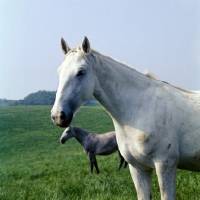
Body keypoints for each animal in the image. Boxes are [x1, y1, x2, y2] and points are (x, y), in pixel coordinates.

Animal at [51, 36, 200, 199]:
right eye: (59, 72)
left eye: (80, 72)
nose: (58, 116)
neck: (141, 109)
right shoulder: (138, 168)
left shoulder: (165, 165)